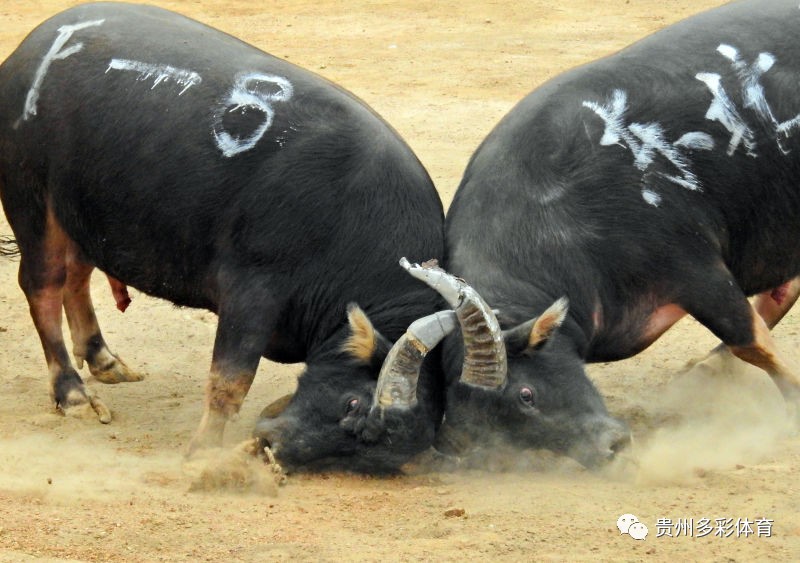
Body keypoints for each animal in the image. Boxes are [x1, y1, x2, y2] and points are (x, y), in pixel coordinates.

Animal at [0, 2, 450, 474]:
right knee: (43, 286)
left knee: (77, 274)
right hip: (33, 204)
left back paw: (104, 360)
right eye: (351, 403)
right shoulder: (252, 291)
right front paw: (204, 454)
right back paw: (72, 394)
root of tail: (26, 52)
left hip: (81, 209)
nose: (272, 450)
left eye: (363, 458)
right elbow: (230, 379)